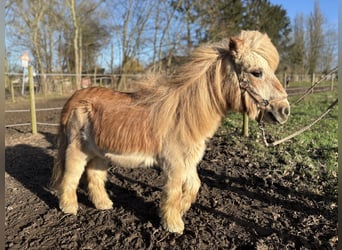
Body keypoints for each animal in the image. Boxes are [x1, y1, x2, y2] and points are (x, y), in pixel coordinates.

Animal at [50, 29, 290, 234]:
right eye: (257, 72)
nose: (284, 110)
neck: (184, 115)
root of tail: (74, 99)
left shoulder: (189, 162)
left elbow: (193, 187)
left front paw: (177, 212)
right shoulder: (174, 164)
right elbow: (174, 192)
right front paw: (173, 224)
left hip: (99, 152)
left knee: (94, 176)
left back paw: (104, 204)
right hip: (76, 149)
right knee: (71, 176)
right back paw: (69, 207)